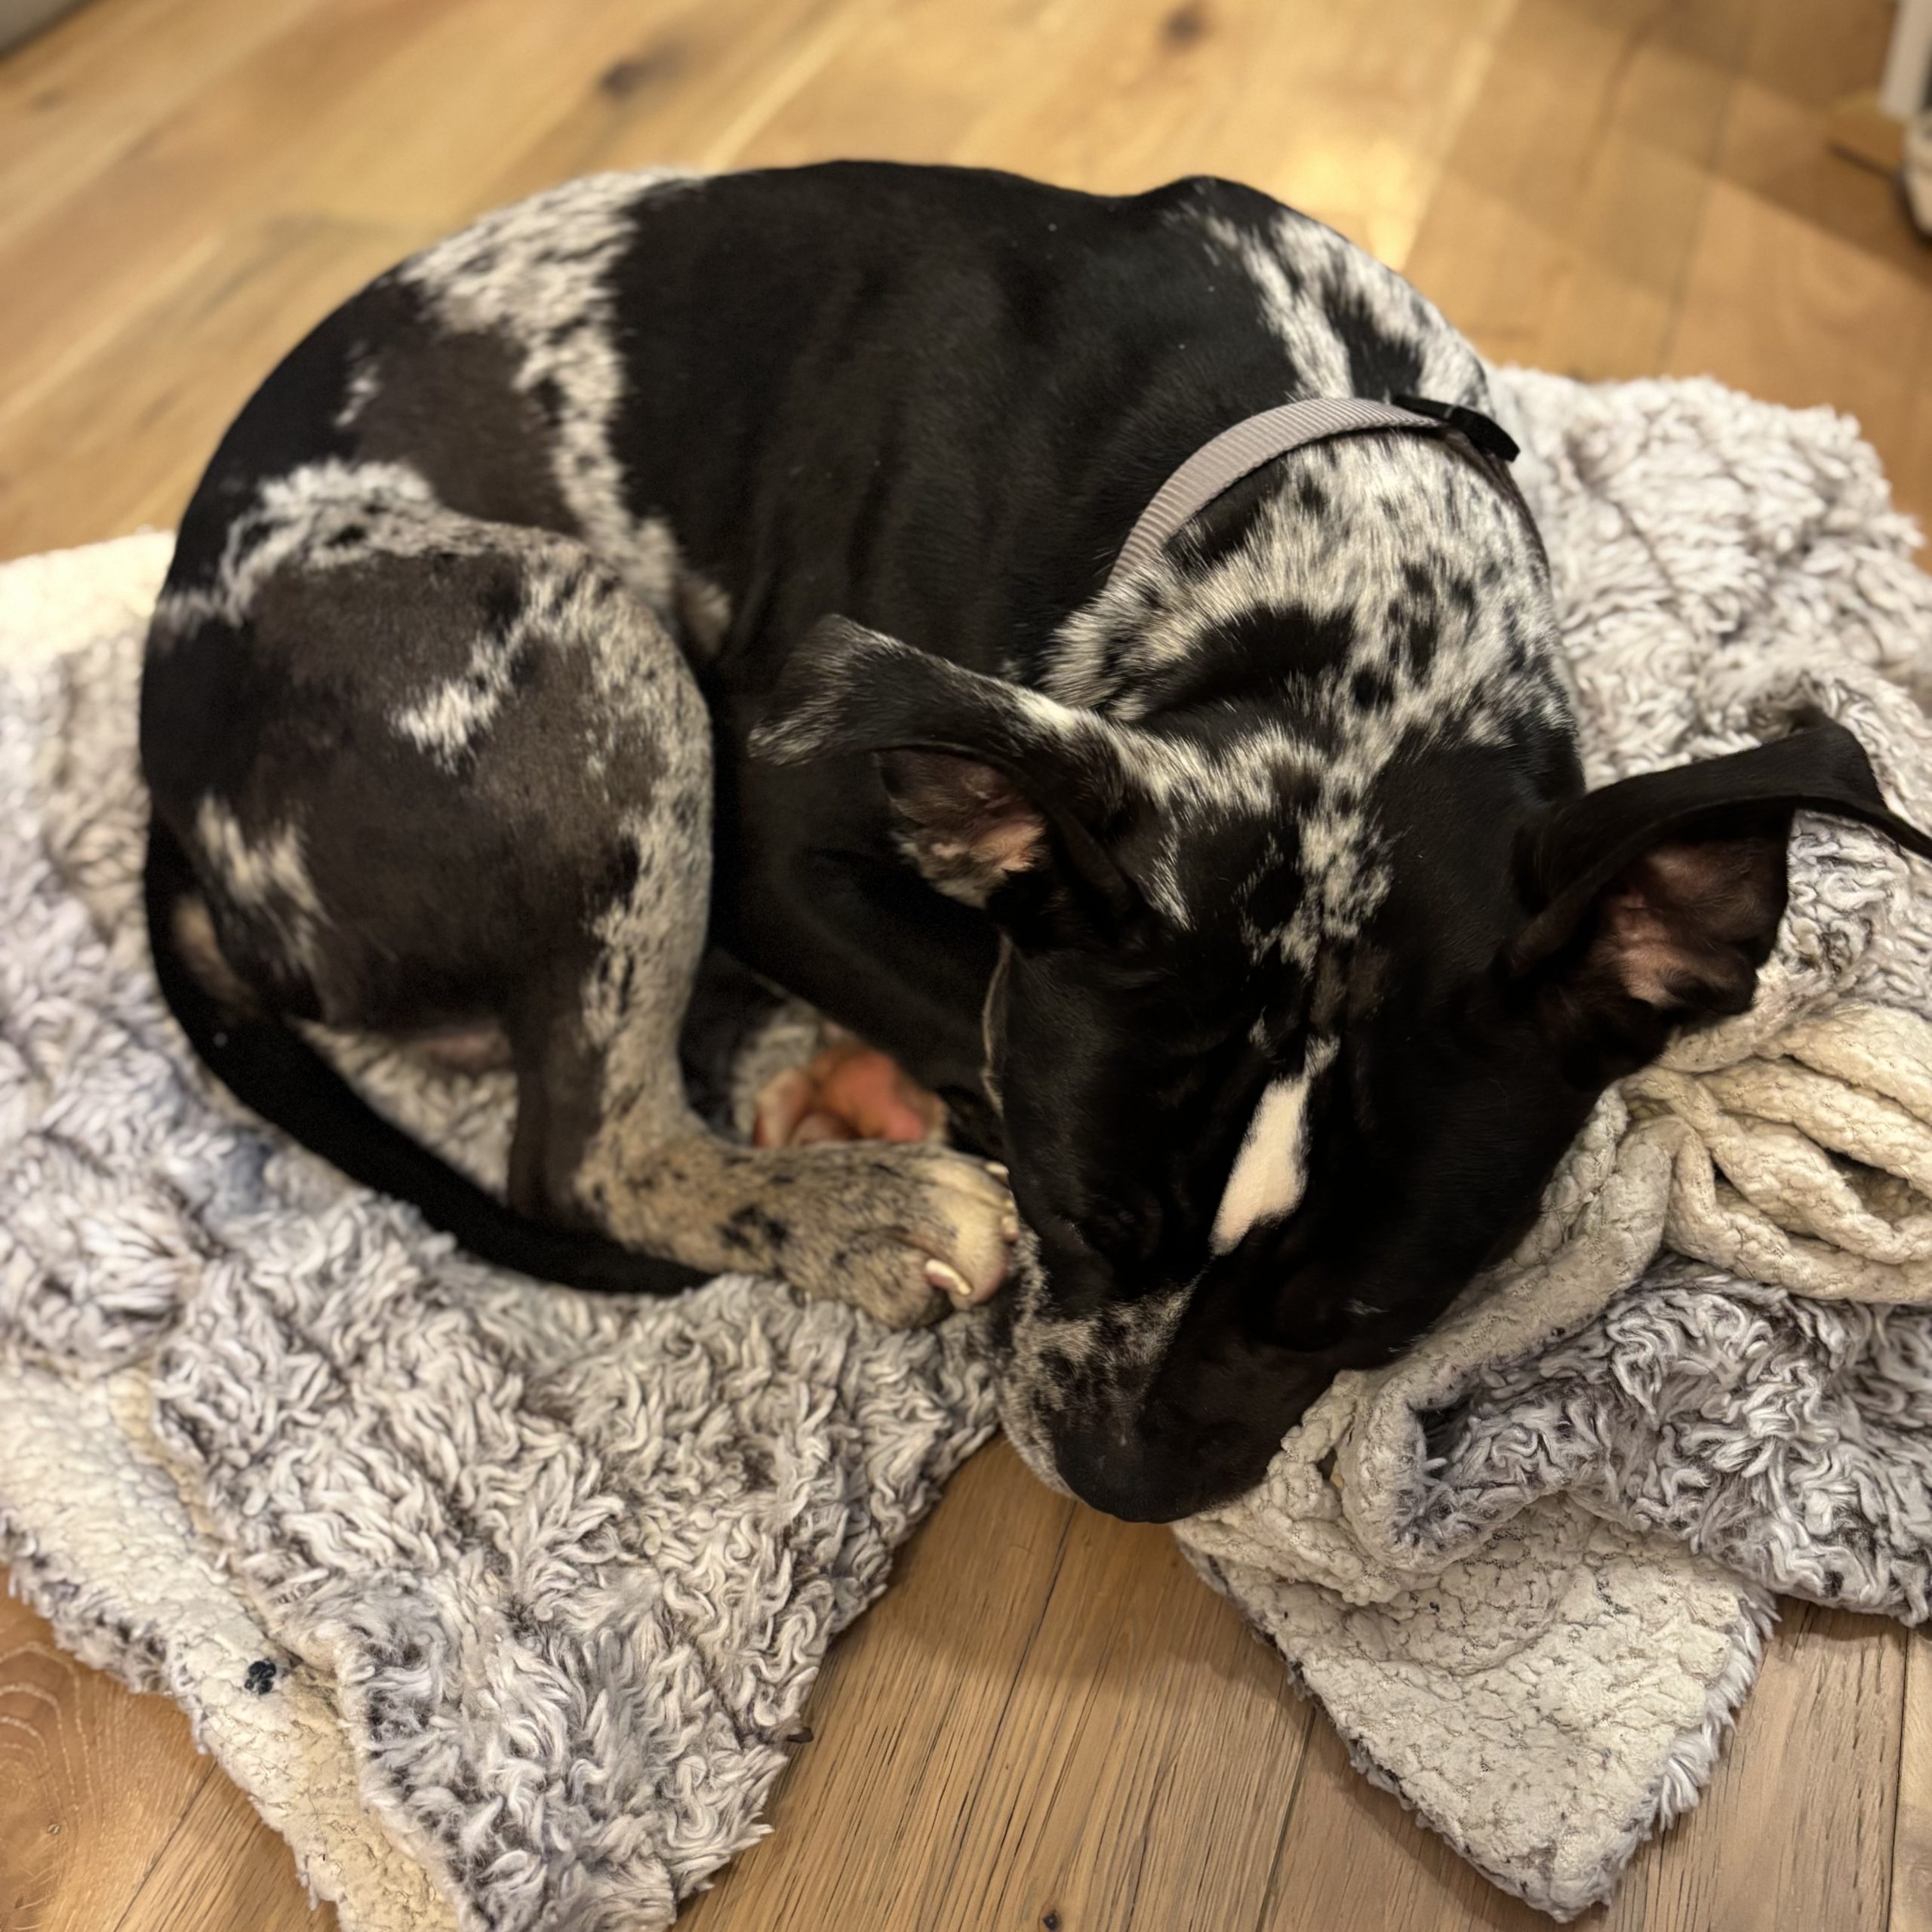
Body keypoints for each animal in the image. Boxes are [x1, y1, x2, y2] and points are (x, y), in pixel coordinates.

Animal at [141, 162, 1932, 1523]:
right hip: (590, 656)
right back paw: (854, 1204)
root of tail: (169, 775)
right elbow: (973, 999)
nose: (1114, 1485)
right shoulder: (782, 845)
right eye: (1073, 1220)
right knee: (591, 1149)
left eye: (1365, 1317)